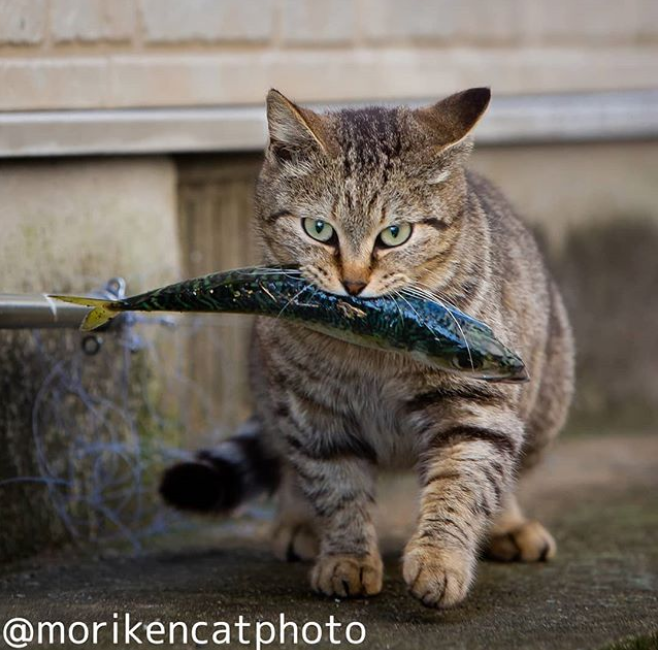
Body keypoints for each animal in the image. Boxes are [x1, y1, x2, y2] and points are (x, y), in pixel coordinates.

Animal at [160, 87, 576, 608]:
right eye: (318, 229)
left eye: (395, 234)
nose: (354, 282)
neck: (370, 346)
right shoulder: (313, 412)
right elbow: (337, 489)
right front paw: (348, 559)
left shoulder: (475, 405)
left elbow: (462, 484)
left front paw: (441, 560)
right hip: (271, 394)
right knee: (289, 467)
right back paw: (298, 524)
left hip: (544, 405)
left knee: (504, 475)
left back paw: (509, 526)